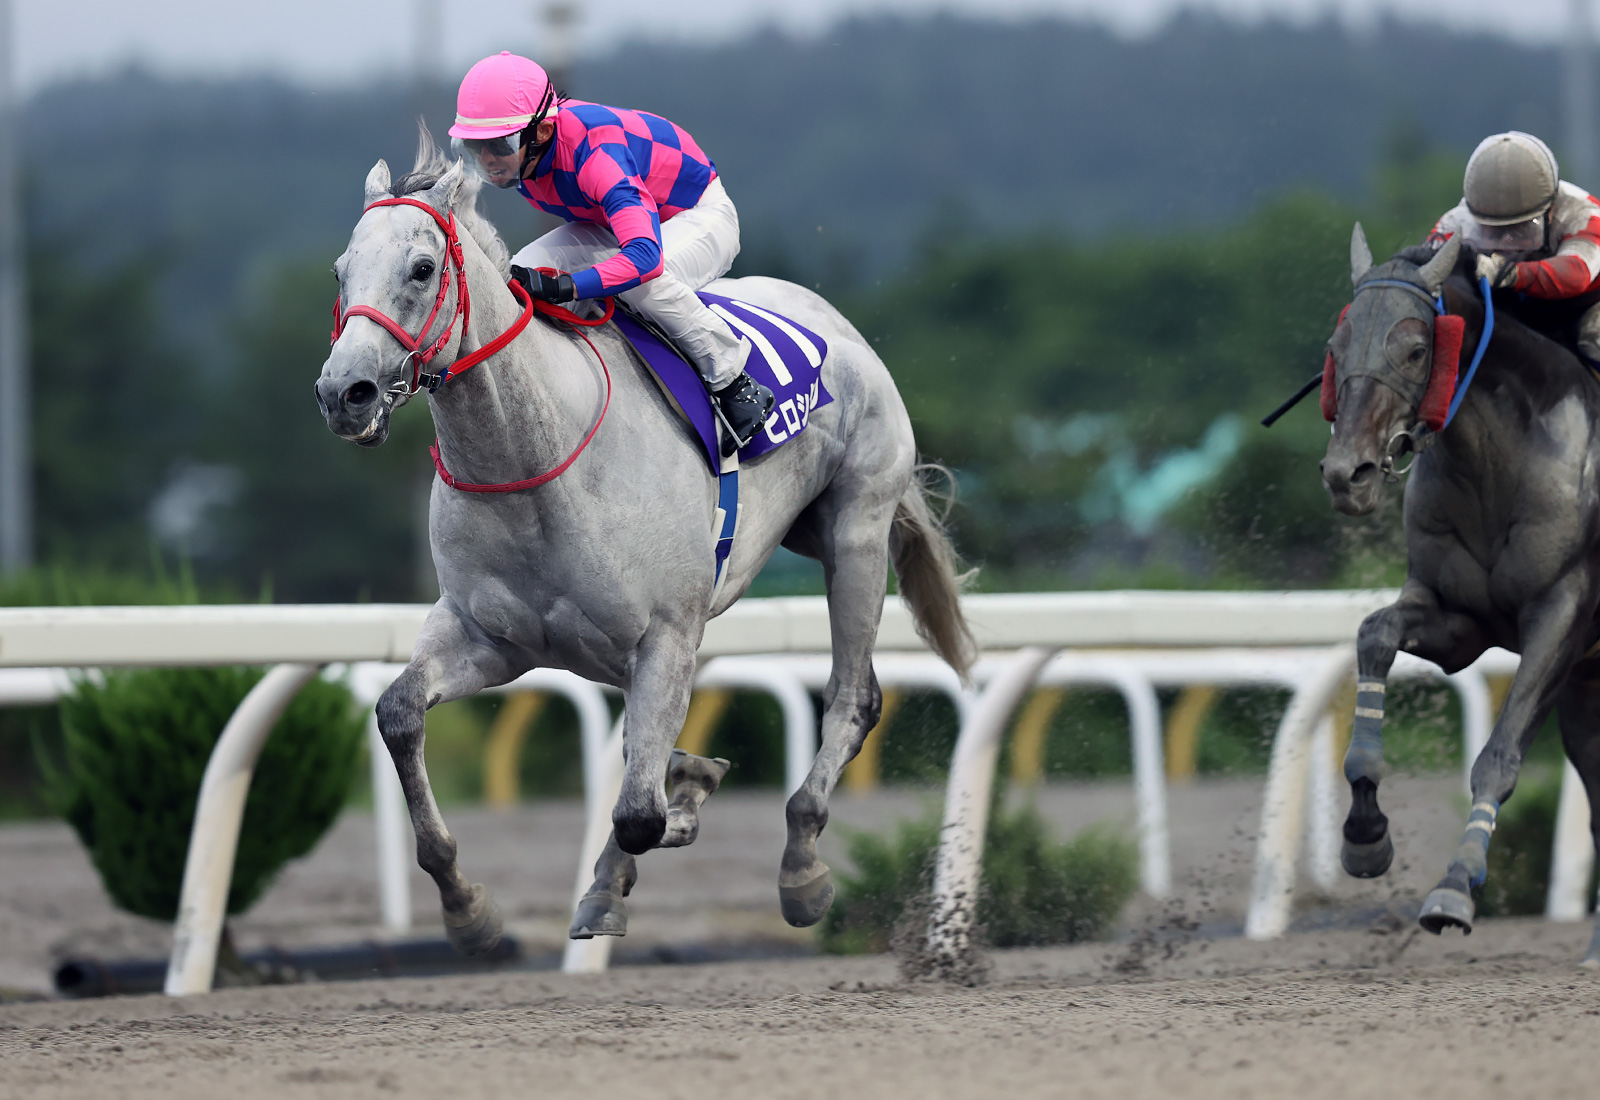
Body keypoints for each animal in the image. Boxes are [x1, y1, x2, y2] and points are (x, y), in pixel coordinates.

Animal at [1324, 225, 1600, 959]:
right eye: (1337, 346)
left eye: (1417, 348)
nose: (1346, 474)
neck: (1496, 463)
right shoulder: (1459, 619)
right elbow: (1375, 634)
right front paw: (1365, 834)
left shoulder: (1563, 613)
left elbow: (1499, 755)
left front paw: (1454, 886)